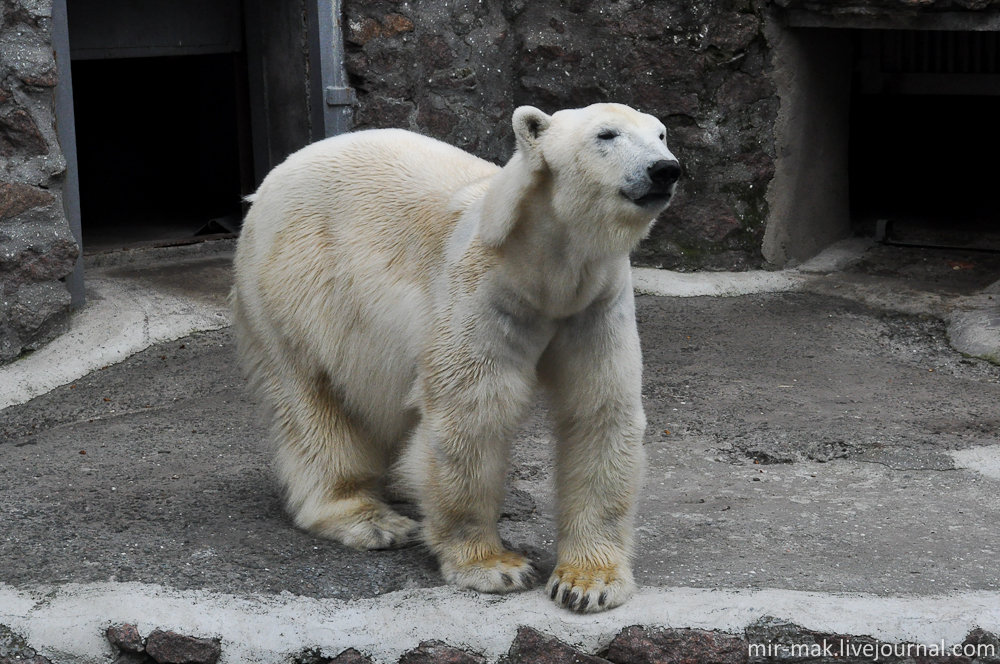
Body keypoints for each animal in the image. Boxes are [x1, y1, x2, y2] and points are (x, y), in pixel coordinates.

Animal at [230, 104, 680, 612]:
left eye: (661, 134)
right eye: (607, 134)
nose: (665, 169)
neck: (546, 271)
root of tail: (270, 181)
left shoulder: (594, 302)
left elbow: (599, 410)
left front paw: (589, 583)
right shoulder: (484, 291)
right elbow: (472, 414)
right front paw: (495, 565)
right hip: (294, 286)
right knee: (313, 398)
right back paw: (371, 519)